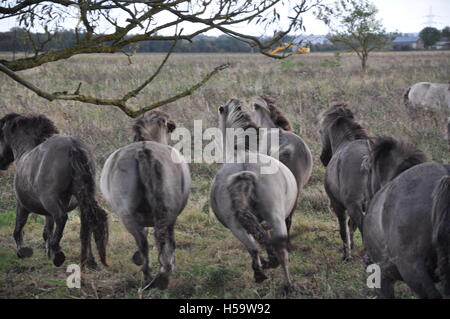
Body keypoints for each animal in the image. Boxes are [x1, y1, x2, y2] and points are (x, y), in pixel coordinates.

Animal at [0, 114, 108, 268]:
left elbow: (18, 228)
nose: (0, 162)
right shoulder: (47, 211)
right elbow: (47, 230)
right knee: (88, 222)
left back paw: (58, 254)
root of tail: (73, 146)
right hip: (82, 199)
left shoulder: (22, 205)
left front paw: (23, 252)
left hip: (52, 200)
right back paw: (89, 261)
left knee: (62, 218)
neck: (25, 152)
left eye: (0, 136)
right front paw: (48, 252)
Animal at [100, 110, 190, 290]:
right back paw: (161, 274)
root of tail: (143, 151)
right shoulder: (172, 218)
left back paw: (149, 275)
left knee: (143, 242)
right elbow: (170, 241)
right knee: (158, 239)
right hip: (165, 213)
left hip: (127, 216)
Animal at [211, 99, 298, 288]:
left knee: (253, 248)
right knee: (279, 253)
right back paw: (286, 284)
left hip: (236, 226)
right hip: (274, 219)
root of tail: (245, 171)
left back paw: (262, 274)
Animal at [316, 104, 370, 260]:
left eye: (320, 131)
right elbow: (351, 226)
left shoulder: (338, 205)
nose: (323, 158)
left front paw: (347, 255)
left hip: (353, 205)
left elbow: (343, 229)